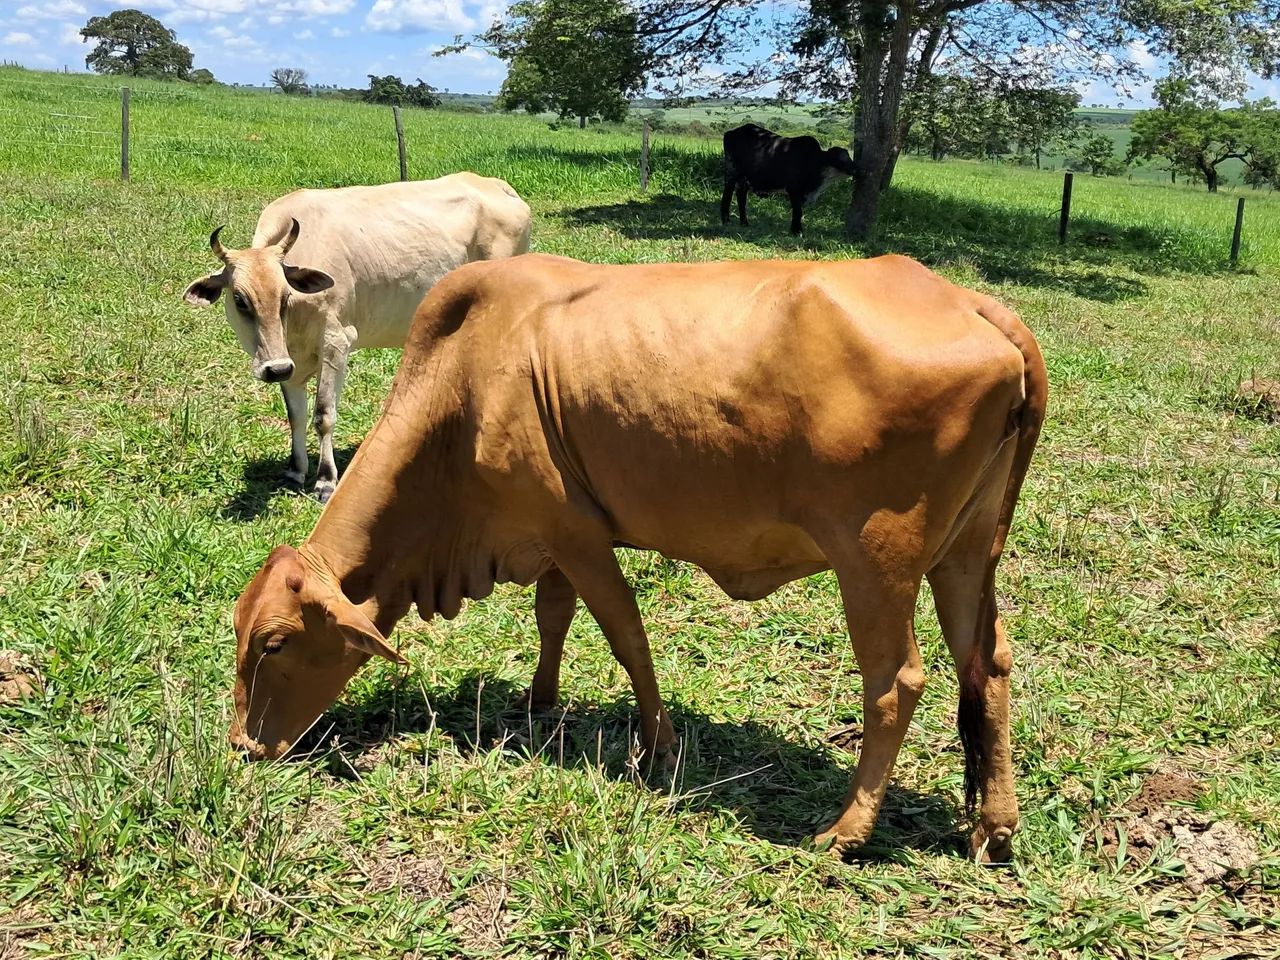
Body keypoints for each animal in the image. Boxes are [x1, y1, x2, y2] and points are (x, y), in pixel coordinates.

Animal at [182, 173, 532, 502]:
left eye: (285, 295)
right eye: (239, 300)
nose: (275, 368)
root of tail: (497, 186)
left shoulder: (336, 343)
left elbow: (323, 415)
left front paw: (325, 481)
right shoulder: (291, 361)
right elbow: (296, 415)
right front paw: (295, 472)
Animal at [228, 253, 1047, 862]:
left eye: (274, 643)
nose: (242, 746)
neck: (460, 386)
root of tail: (976, 306)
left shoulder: (576, 533)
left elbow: (625, 634)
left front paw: (658, 743)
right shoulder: (549, 539)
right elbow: (553, 617)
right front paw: (540, 700)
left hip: (874, 562)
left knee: (896, 682)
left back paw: (846, 831)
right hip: (968, 552)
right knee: (987, 663)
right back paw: (994, 825)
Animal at [720, 123, 857, 235]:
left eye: (848, 156)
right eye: (839, 159)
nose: (854, 169)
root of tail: (730, 132)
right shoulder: (794, 190)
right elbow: (797, 211)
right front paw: (797, 231)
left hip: (743, 179)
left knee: (741, 197)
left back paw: (744, 222)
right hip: (731, 171)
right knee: (728, 193)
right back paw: (726, 220)